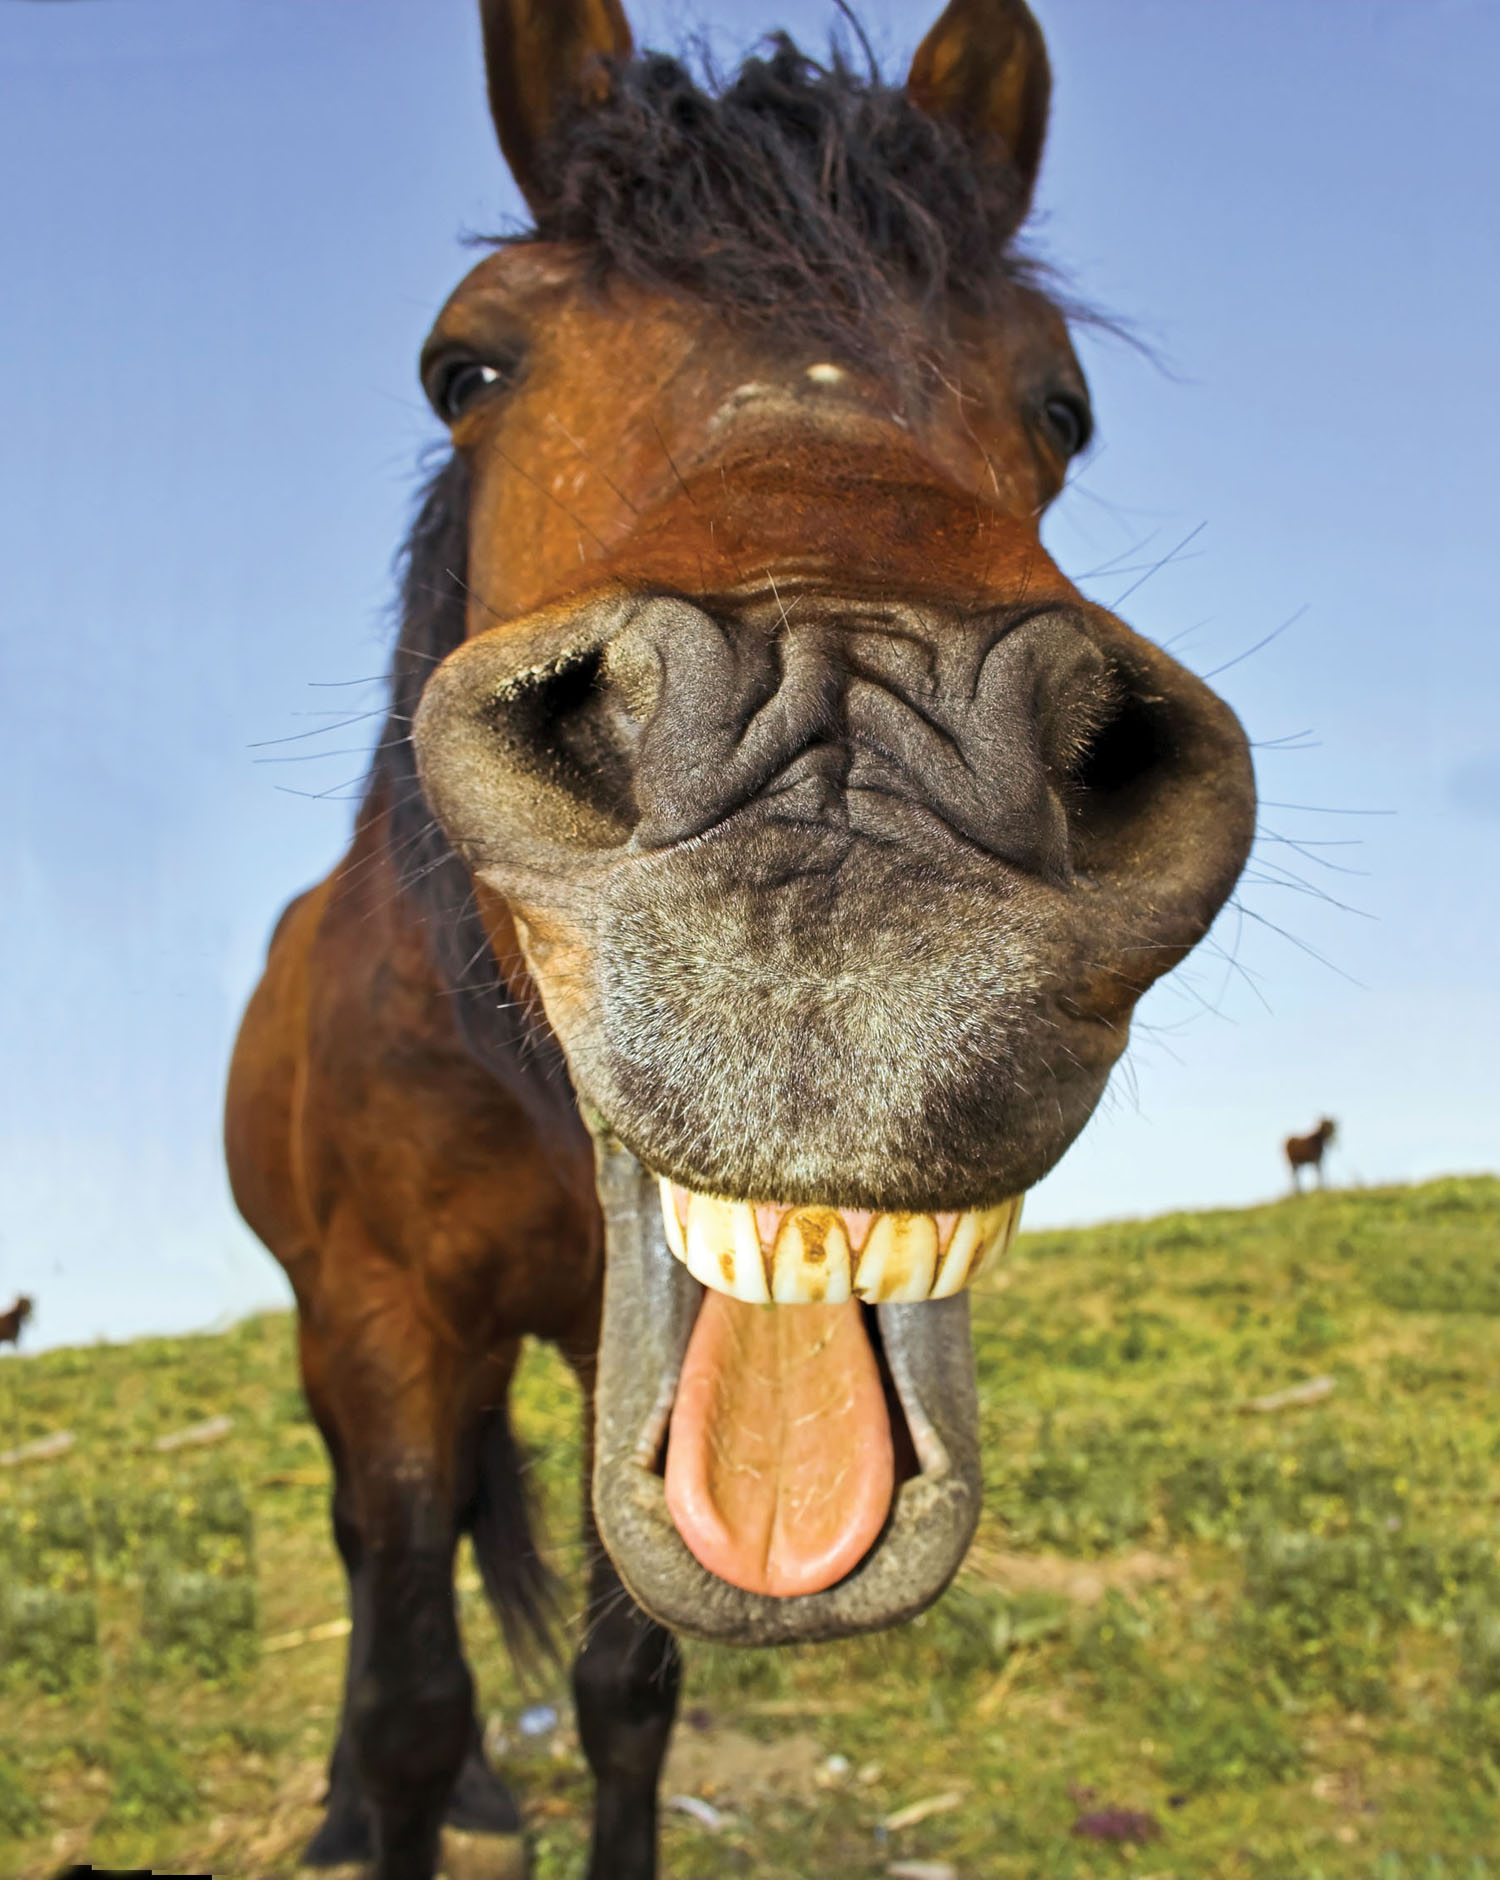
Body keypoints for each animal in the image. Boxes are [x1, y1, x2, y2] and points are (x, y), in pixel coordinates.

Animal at [224, 4, 1257, 1876]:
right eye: (463, 369)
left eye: (1063, 405)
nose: (853, 816)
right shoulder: (383, 1317)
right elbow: (412, 1701)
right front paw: (383, 1796)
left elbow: (629, 1692)